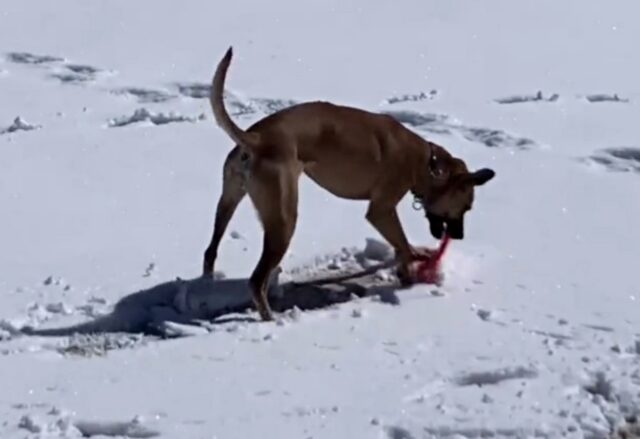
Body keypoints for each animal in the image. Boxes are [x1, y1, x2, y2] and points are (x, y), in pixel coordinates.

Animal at [202, 48, 498, 322]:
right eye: (467, 207)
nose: (459, 236)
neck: (428, 163)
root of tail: (255, 138)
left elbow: (401, 246)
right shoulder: (381, 211)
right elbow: (403, 245)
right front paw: (412, 266)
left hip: (228, 202)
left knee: (211, 250)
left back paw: (208, 286)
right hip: (284, 219)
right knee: (256, 280)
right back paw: (270, 317)